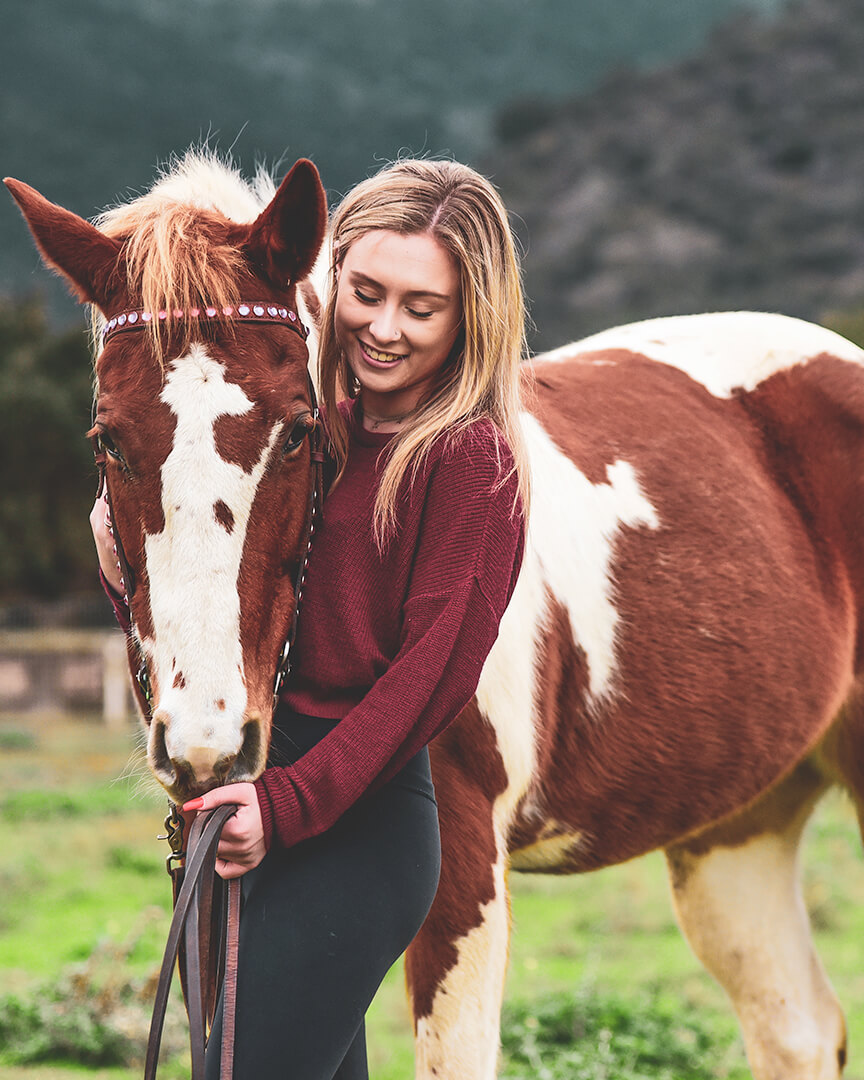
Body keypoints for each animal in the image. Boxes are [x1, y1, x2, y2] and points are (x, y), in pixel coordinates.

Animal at [6, 152, 864, 1080]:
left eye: (299, 431)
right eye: (107, 440)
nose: (210, 744)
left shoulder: (465, 864)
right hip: (738, 831)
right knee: (795, 1025)